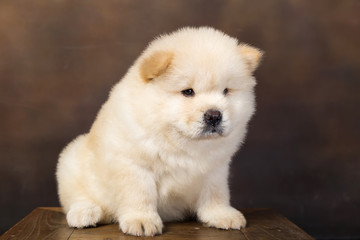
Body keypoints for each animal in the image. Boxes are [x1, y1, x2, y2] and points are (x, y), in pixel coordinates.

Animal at [56, 27, 262, 237]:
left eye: (226, 91)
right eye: (188, 92)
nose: (214, 115)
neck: (183, 142)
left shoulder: (215, 169)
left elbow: (216, 194)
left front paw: (222, 215)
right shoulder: (135, 164)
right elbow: (140, 194)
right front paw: (142, 221)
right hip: (71, 162)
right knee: (78, 197)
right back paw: (85, 214)